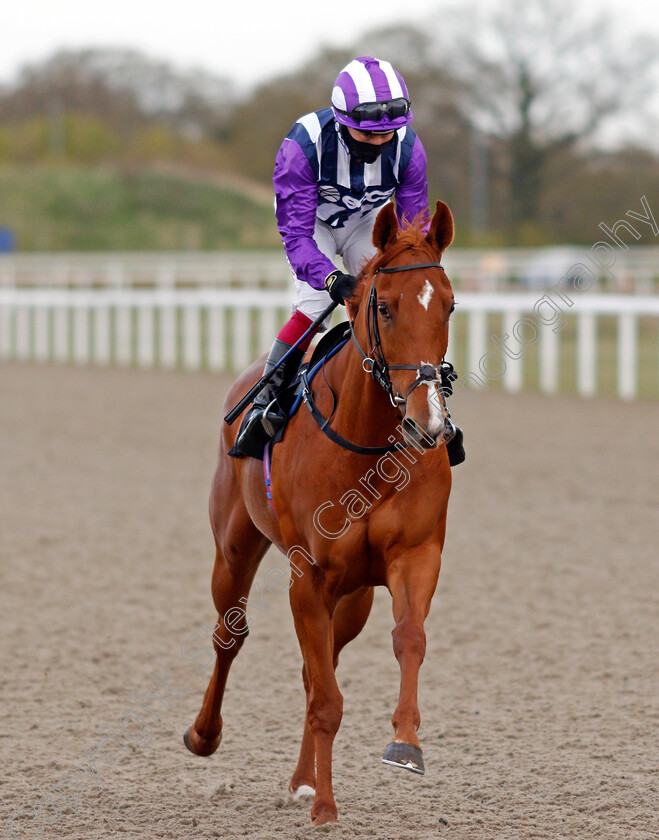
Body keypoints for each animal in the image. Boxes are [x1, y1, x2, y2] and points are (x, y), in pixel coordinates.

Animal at [183, 200, 456, 824]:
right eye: (385, 306)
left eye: (450, 304)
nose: (429, 421)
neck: (371, 446)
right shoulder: (307, 574)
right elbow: (326, 696)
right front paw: (327, 808)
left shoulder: (415, 554)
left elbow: (408, 639)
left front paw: (405, 744)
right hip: (234, 547)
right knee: (229, 636)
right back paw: (204, 735)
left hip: (353, 596)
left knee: (320, 663)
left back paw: (303, 778)